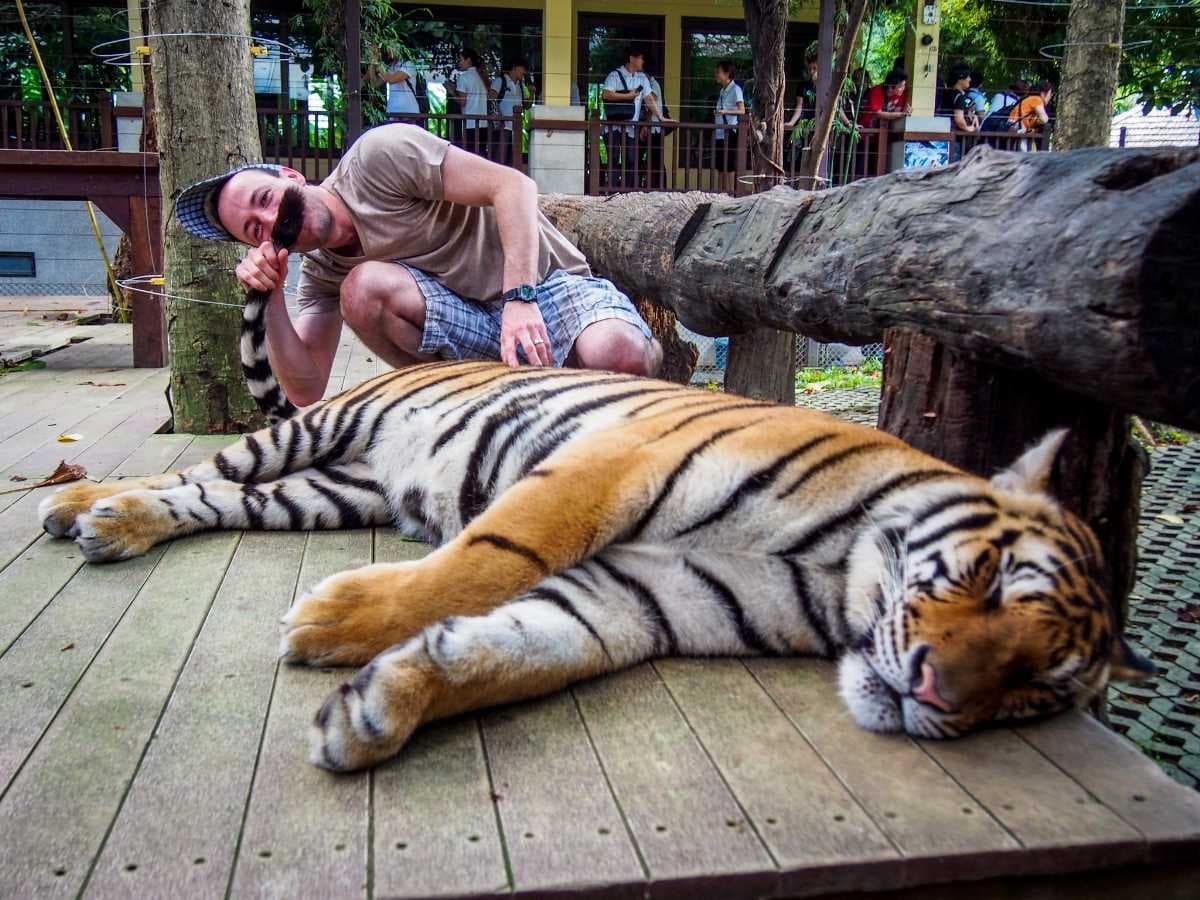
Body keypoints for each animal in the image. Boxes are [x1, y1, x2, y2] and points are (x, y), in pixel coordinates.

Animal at [36, 357, 1154, 772]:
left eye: (1033, 689)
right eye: (989, 581)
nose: (934, 693)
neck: (837, 581)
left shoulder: (648, 594)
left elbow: (524, 645)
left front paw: (380, 707)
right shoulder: (614, 463)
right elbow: (489, 560)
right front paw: (337, 621)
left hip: (330, 487)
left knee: (212, 498)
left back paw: (112, 523)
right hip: (323, 425)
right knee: (205, 467)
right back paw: (80, 504)